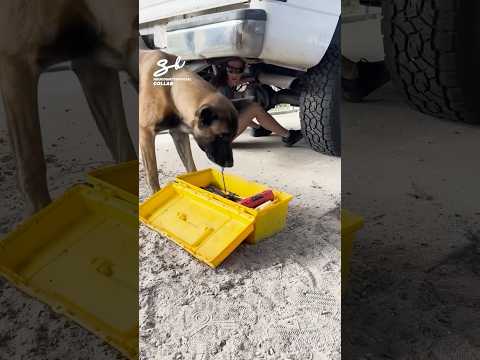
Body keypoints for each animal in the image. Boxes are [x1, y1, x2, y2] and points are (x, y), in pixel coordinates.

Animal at [139, 50, 238, 194]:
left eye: (232, 137)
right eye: (222, 136)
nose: (230, 164)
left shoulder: (179, 135)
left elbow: (191, 167)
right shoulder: (146, 134)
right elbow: (152, 174)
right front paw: (156, 193)